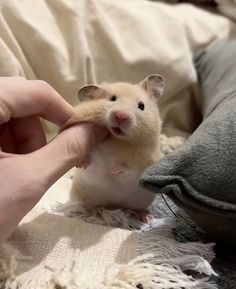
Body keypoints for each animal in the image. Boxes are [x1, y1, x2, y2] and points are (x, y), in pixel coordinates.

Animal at [64, 73, 164, 218]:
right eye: (113, 98)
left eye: (141, 106)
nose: (121, 116)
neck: (117, 140)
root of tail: (112, 207)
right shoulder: (95, 161)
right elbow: (92, 162)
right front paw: (82, 163)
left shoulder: (145, 163)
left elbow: (131, 171)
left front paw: (115, 171)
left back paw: (146, 217)